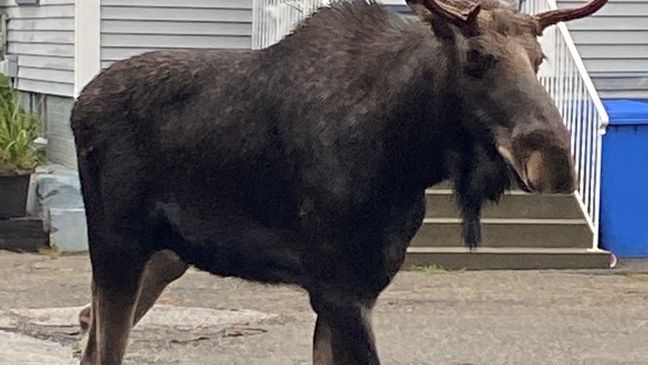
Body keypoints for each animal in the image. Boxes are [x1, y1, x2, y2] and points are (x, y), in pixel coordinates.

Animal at [71, 0, 608, 362]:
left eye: (538, 59)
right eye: (475, 56)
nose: (555, 162)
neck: (406, 155)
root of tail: (79, 107)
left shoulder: (359, 288)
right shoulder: (339, 289)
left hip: (165, 257)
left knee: (89, 331)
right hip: (117, 248)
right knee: (101, 348)